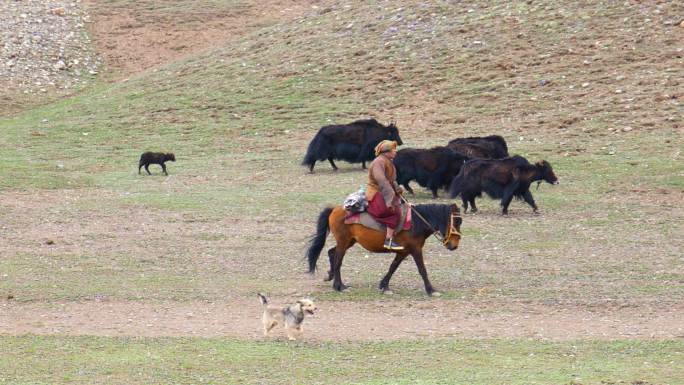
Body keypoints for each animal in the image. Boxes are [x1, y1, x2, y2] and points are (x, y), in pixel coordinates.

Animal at [306, 202, 462, 296]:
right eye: (457, 221)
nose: (454, 245)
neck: (416, 222)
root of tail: (335, 209)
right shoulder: (416, 250)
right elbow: (422, 269)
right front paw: (431, 290)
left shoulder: (403, 251)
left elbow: (393, 267)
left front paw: (384, 285)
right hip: (344, 242)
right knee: (338, 260)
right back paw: (339, 285)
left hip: (348, 242)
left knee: (332, 253)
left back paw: (330, 276)